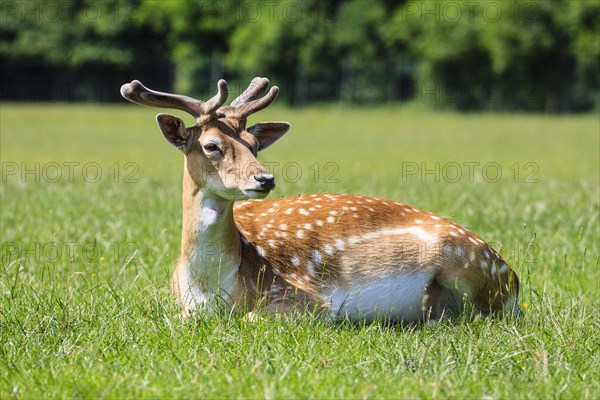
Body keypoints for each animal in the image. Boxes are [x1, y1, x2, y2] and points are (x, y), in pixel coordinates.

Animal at [119, 76, 516, 324]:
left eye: (254, 143)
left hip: (465, 267)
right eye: (211, 145)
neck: (210, 287)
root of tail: (513, 278)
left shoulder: (308, 298)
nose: (265, 178)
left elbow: (251, 317)